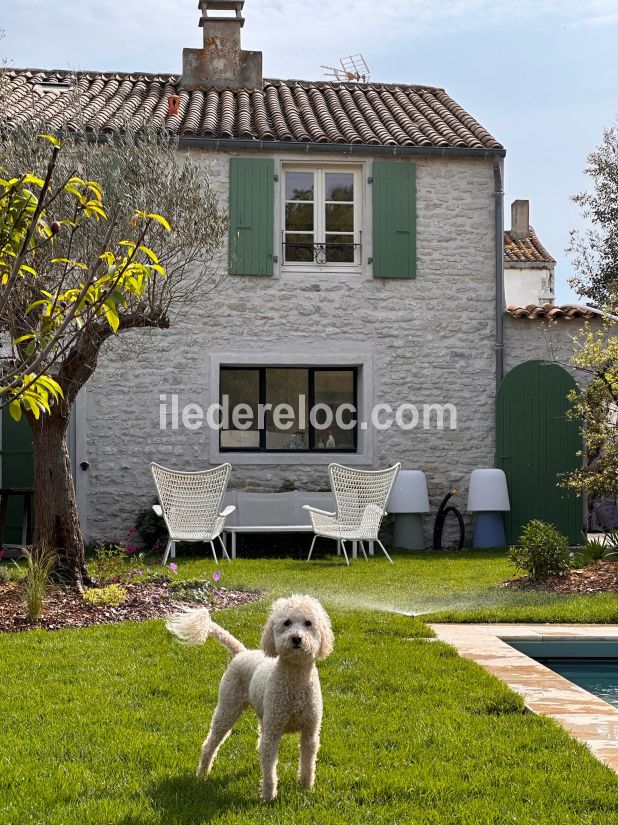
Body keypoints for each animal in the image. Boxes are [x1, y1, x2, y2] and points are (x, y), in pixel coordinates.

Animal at [165, 592, 332, 800]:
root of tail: (241, 652)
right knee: (211, 743)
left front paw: (306, 788)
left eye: (308, 623)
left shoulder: (310, 731)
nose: (296, 638)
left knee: (259, 744)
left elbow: (308, 764)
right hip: (228, 707)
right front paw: (268, 796)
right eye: (286, 622)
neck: (295, 680)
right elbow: (270, 769)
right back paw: (202, 773)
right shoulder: (273, 731)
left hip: (261, 714)